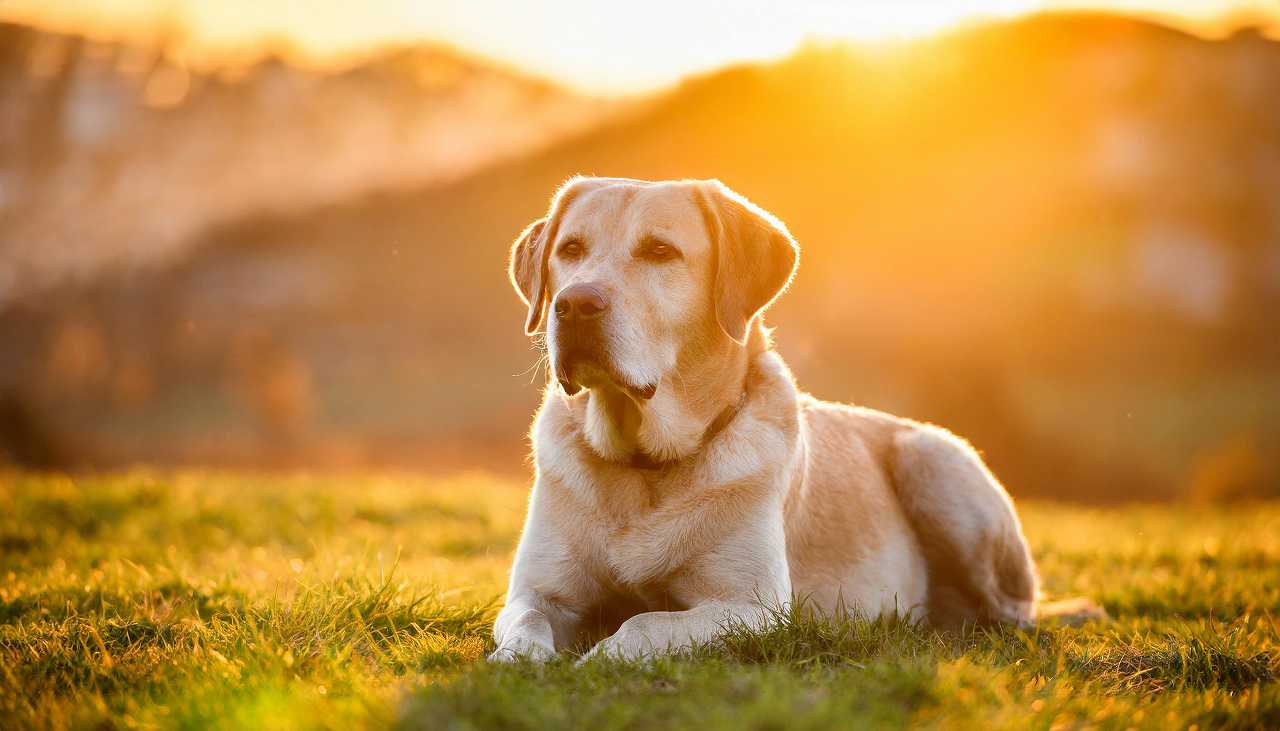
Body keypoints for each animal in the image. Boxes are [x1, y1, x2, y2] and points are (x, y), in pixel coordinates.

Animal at [486, 177, 1090, 665]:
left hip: (935, 463)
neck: (645, 463)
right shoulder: (537, 592)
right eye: (570, 249)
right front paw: (516, 662)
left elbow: (644, 623)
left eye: (660, 251)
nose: (573, 304)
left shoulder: (752, 607)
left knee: (1013, 613)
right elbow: (525, 623)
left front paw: (601, 657)